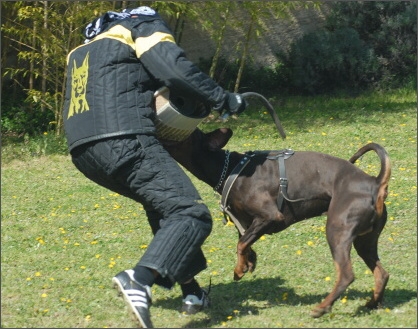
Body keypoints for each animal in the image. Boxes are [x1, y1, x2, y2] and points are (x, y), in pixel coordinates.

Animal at [162, 128, 390, 318]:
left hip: (337, 231)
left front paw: (239, 269)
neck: (231, 170)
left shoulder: (269, 216)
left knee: (346, 275)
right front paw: (248, 262)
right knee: (382, 273)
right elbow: (245, 241)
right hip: (365, 239)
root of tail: (375, 182)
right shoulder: (247, 222)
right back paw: (372, 303)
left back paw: (322, 307)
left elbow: (241, 243)